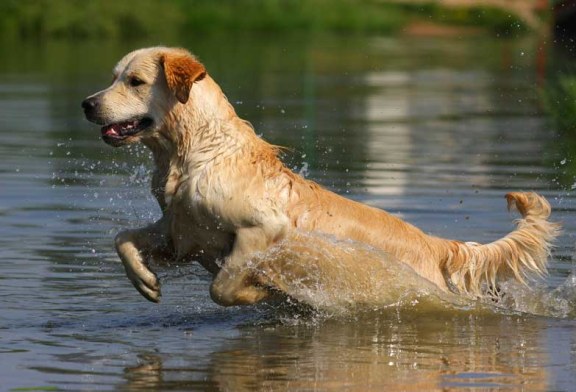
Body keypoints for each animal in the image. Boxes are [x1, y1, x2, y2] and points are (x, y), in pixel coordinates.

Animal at [81, 46, 560, 306]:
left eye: (136, 81)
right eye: (114, 77)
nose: (87, 103)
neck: (194, 153)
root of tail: (437, 245)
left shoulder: (261, 230)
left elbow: (223, 286)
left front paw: (261, 293)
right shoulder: (180, 232)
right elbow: (123, 238)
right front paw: (145, 283)